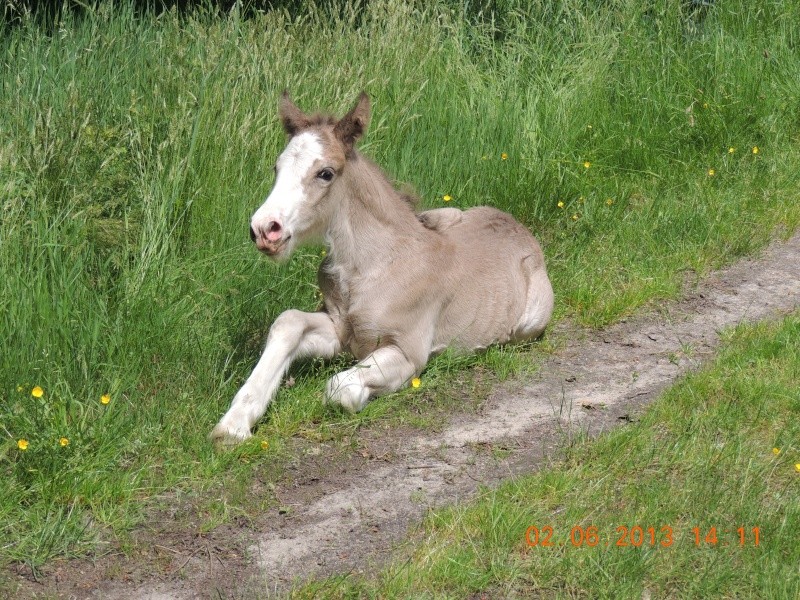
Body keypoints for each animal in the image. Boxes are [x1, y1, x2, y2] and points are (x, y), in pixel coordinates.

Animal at [209, 91, 552, 442]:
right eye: (276, 167)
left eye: (325, 173)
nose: (265, 229)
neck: (373, 266)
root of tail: (518, 227)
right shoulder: (340, 330)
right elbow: (288, 322)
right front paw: (234, 425)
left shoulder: (407, 351)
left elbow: (339, 388)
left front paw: (367, 395)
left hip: (530, 323)